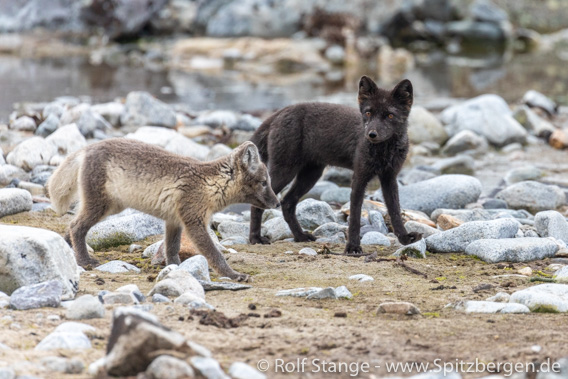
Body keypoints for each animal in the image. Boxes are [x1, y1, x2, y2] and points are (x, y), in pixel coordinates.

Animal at [248, 75, 422, 254]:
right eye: (368, 113)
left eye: (390, 116)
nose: (371, 134)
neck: (384, 152)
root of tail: (280, 112)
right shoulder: (359, 177)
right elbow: (355, 216)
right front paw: (353, 247)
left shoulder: (389, 178)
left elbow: (395, 211)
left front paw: (405, 238)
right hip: (285, 170)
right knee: (259, 204)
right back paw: (255, 239)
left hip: (311, 175)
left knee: (287, 202)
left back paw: (300, 236)